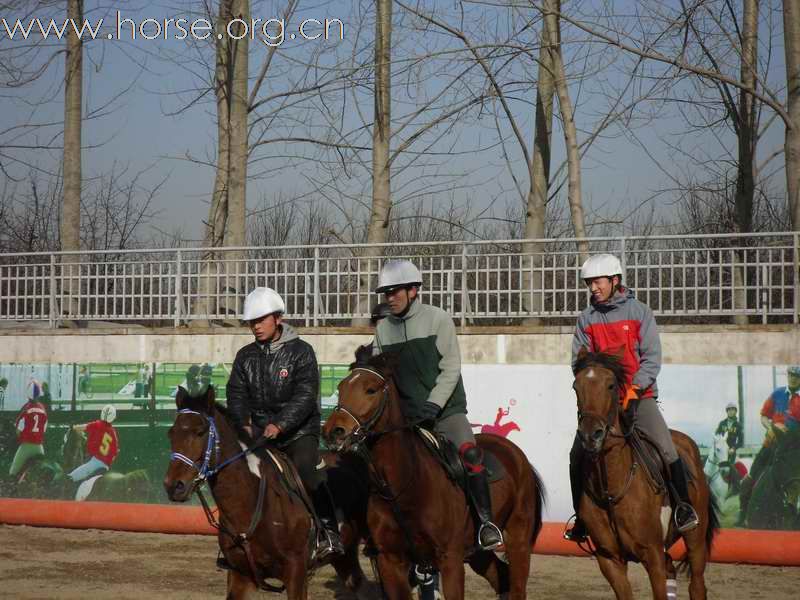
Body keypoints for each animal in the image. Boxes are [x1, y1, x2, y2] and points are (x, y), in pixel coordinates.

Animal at [163, 384, 376, 600]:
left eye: (200, 432)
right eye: (171, 433)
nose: (174, 485)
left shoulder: (296, 572)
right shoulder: (241, 576)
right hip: (345, 558)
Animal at [322, 346, 548, 600]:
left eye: (371, 390)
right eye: (341, 387)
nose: (333, 432)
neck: (403, 486)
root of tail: (516, 454)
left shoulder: (450, 560)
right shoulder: (390, 562)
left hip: (518, 538)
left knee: (517, 583)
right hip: (478, 553)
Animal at [572, 346, 720, 600]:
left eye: (611, 385)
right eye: (576, 386)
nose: (591, 435)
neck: (611, 486)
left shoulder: (652, 554)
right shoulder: (609, 559)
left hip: (695, 538)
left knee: (697, 584)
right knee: (672, 569)